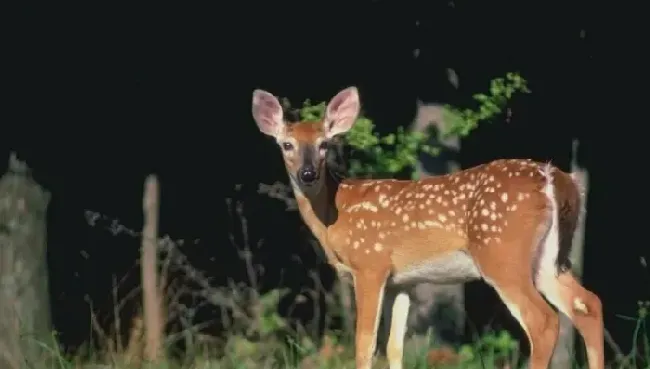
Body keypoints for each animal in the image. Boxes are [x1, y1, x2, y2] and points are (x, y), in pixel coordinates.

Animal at [249, 86, 604, 368]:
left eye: (324, 144)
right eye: (286, 145)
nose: (308, 174)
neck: (336, 214)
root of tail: (556, 179)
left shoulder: (370, 265)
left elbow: (365, 345)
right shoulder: (402, 281)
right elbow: (394, 347)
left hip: (502, 254)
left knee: (543, 321)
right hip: (549, 259)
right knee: (588, 305)